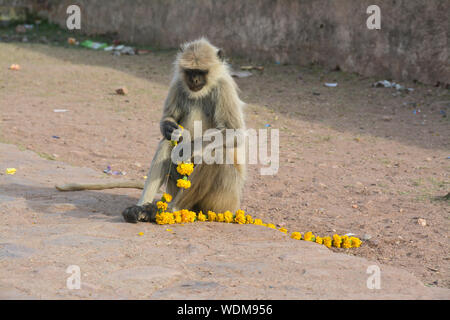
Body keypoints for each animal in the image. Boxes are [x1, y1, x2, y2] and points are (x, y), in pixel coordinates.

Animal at [121, 38, 246, 222]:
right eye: (190, 72)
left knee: (216, 154)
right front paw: (168, 127)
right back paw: (140, 209)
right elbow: (168, 121)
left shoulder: (224, 87)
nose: (194, 80)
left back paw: (169, 209)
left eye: (201, 72)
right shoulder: (178, 83)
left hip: (225, 201)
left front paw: (188, 148)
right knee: (167, 142)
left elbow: (234, 132)